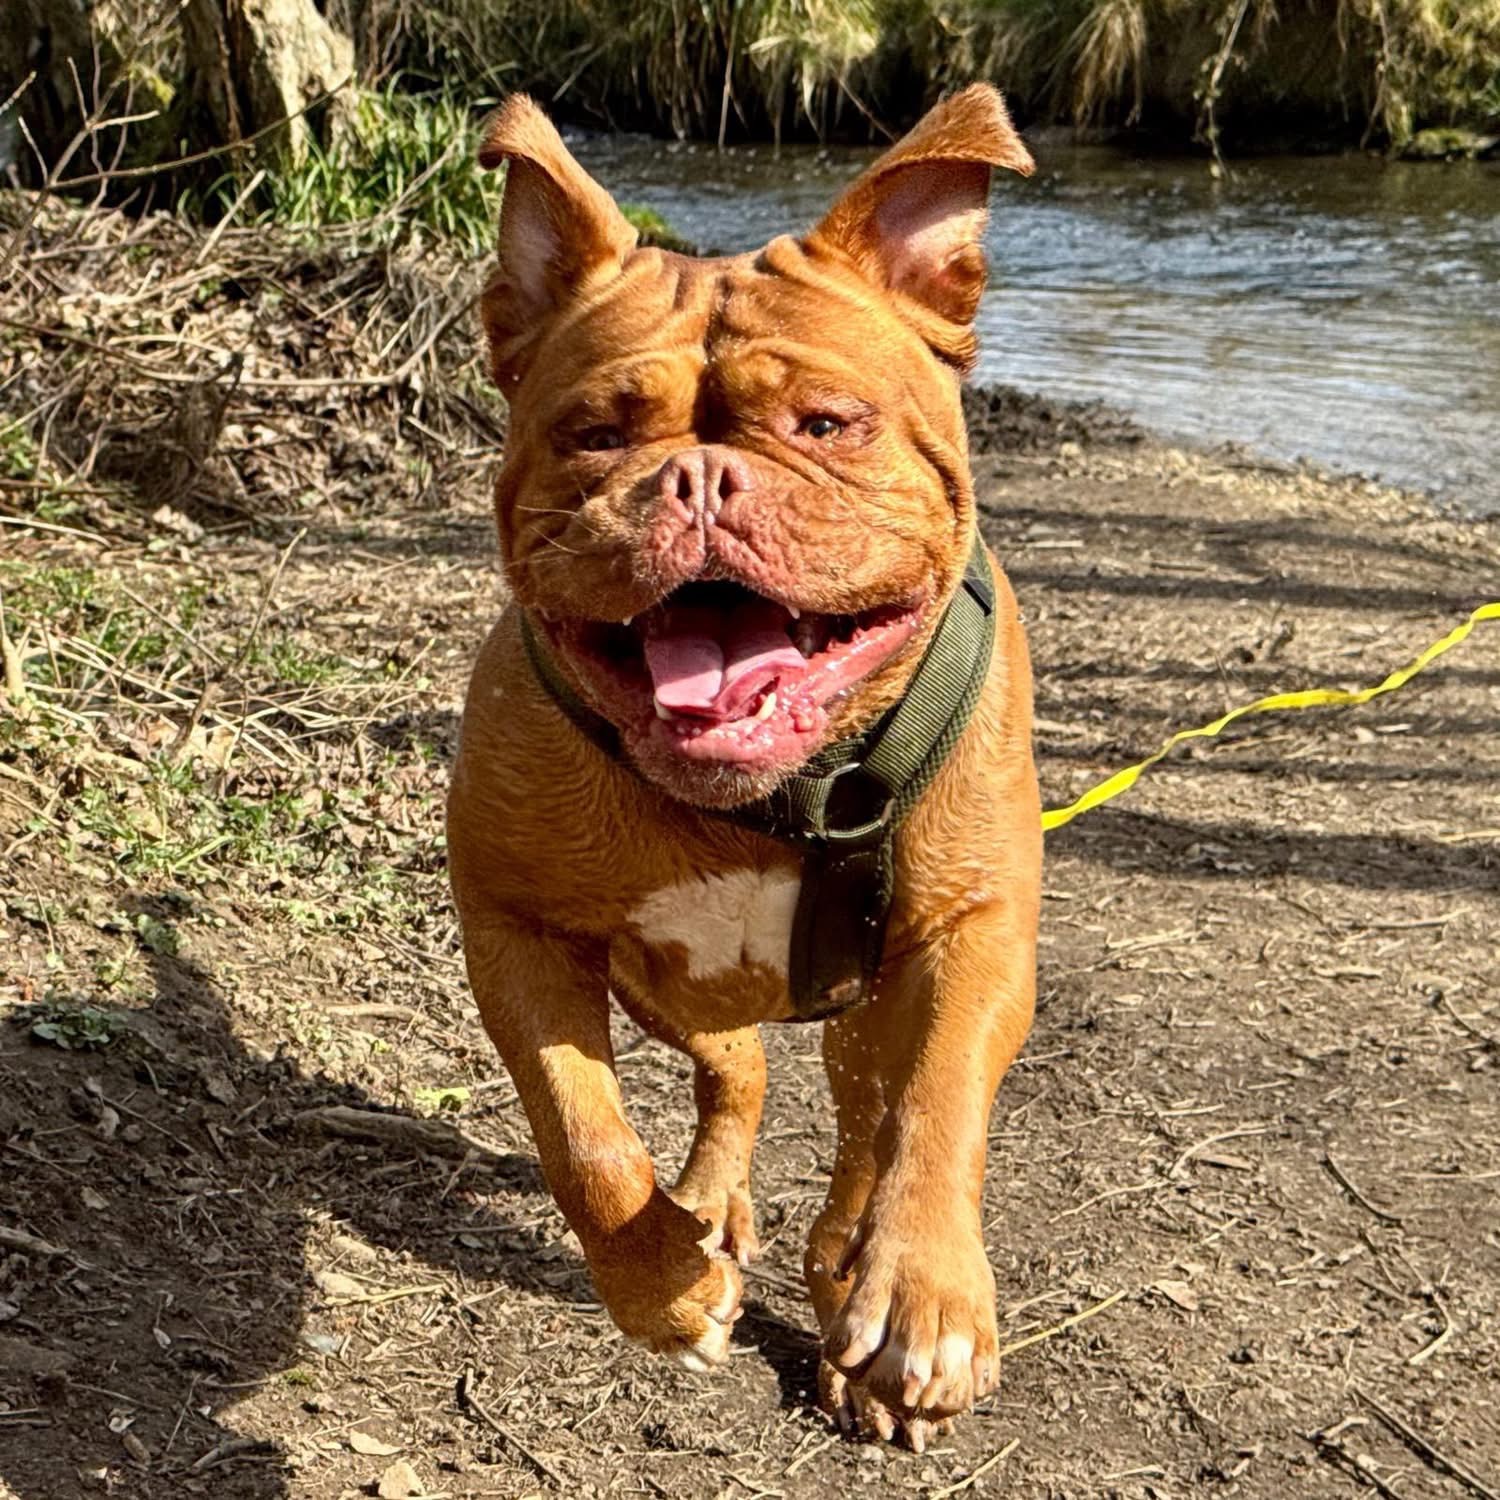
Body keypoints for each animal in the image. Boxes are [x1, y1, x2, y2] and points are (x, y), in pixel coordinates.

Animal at [446, 85, 1041, 1449]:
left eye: (826, 426)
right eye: (593, 434)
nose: (701, 475)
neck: (777, 792)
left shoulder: (975, 932)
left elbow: (934, 1112)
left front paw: (920, 1294)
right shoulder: (514, 929)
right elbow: (581, 1134)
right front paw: (660, 1286)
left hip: (863, 1005)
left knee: (866, 1119)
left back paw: (847, 1279)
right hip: (675, 989)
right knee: (741, 1075)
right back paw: (714, 1214)